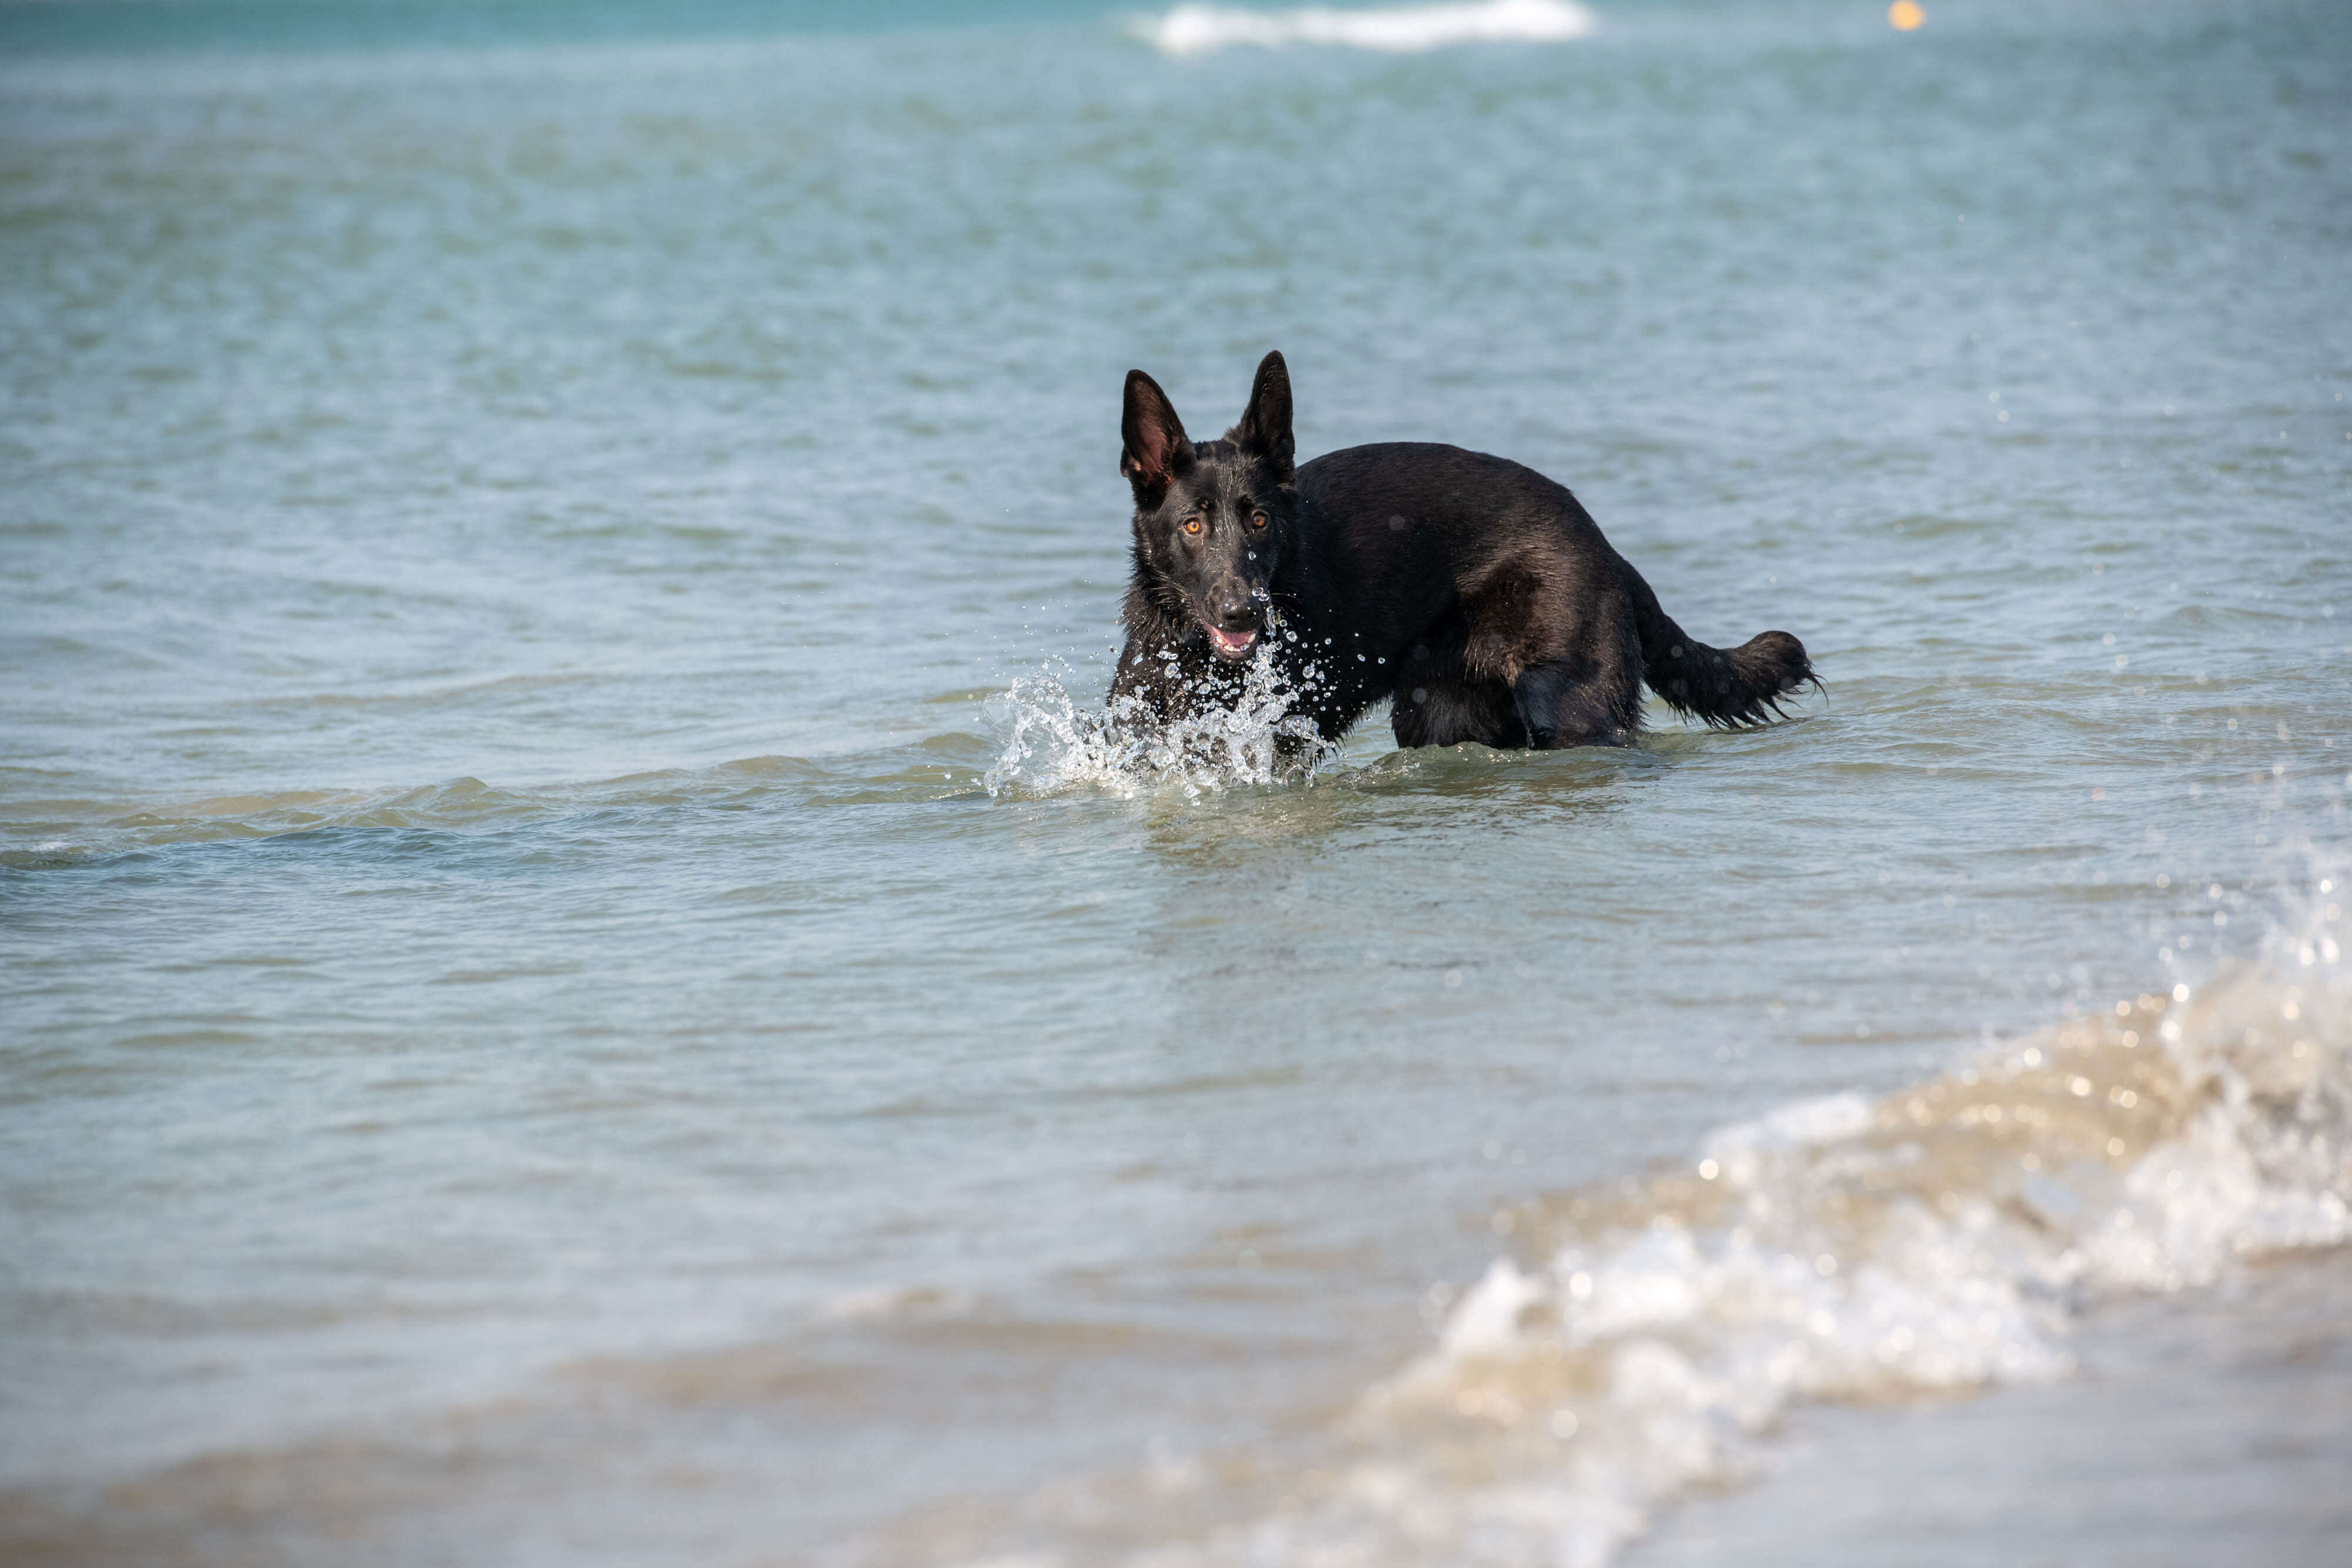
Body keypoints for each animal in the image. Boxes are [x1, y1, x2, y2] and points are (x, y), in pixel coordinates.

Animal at [1110, 352, 1806, 757]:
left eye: (1258, 521)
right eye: (1193, 526)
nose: (1242, 612)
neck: (1197, 655)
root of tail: (1601, 540)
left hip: (1568, 705)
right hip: (1439, 717)